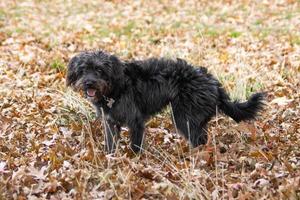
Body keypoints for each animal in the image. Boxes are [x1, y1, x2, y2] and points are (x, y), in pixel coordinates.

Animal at [67, 50, 264, 153]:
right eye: (83, 70)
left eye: (99, 70)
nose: (89, 83)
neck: (116, 87)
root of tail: (212, 81)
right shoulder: (110, 122)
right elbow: (110, 144)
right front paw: (110, 158)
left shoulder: (136, 122)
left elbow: (135, 145)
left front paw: (134, 160)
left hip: (184, 118)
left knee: (199, 140)